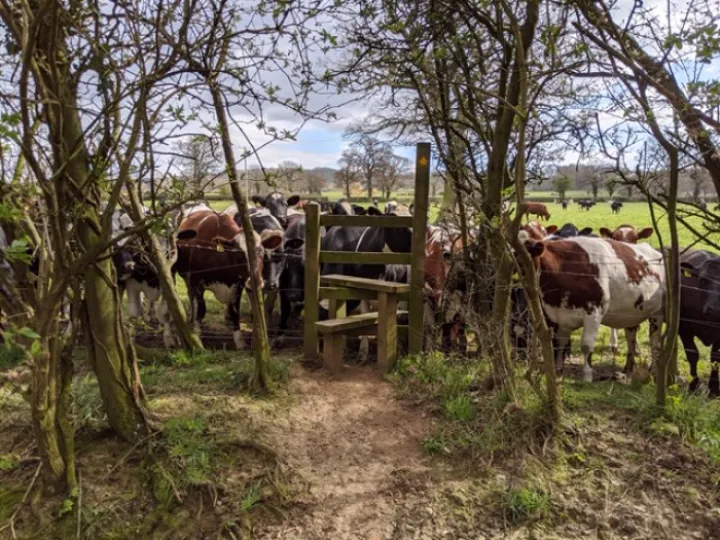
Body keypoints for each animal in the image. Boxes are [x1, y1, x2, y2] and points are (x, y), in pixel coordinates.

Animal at [173, 209, 282, 349]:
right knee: (192, 300)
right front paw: (197, 335)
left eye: (261, 252)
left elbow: (235, 313)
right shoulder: (197, 283)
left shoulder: (237, 287)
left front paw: (240, 342)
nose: (257, 281)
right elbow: (201, 311)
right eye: (239, 254)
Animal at [520, 234, 665, 382]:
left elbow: (586, 345)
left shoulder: (594, 311)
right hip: (631, 314)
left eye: (525, 260)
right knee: (631, 338)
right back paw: (628, 369)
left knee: (655, 342)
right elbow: (559, 345)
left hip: (657, 314)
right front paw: (558, 373)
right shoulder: (558, 315)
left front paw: (587, 376)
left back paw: (654, 371)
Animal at [678, 249, 720, 396]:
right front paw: (693, 385)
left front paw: (714, 389)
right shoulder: (684, 328)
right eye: (702, 280)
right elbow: (692, 354)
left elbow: (715, 357)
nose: (715, 309)